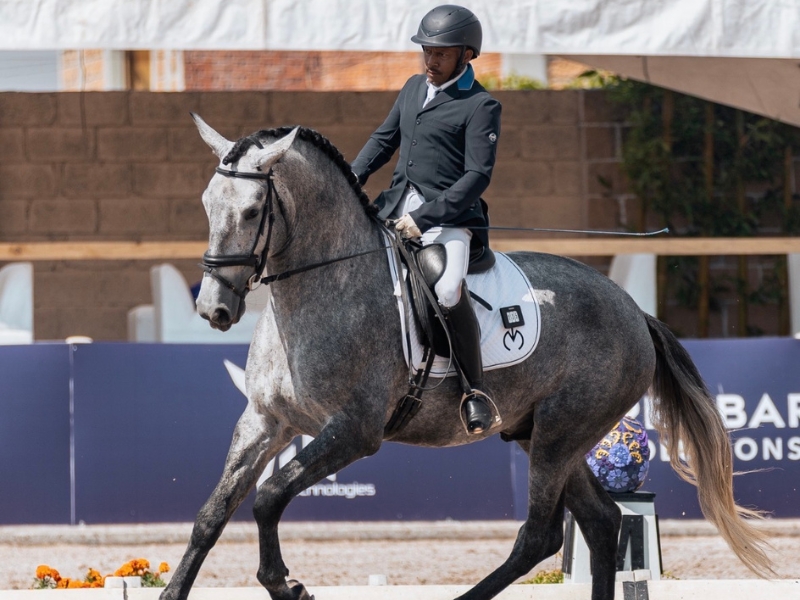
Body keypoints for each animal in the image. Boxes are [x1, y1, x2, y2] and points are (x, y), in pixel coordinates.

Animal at [160, 114, 772, 600]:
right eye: (206, 205)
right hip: (543, 432)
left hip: (561, 431)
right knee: (602, 522)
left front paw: (287, 585)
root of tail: (634, 311)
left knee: (541, 536)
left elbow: (267, 498)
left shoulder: (353, 432)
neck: (324, 285)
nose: (214, 308)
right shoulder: (265, 420)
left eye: (253, 210)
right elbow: (212, 514)